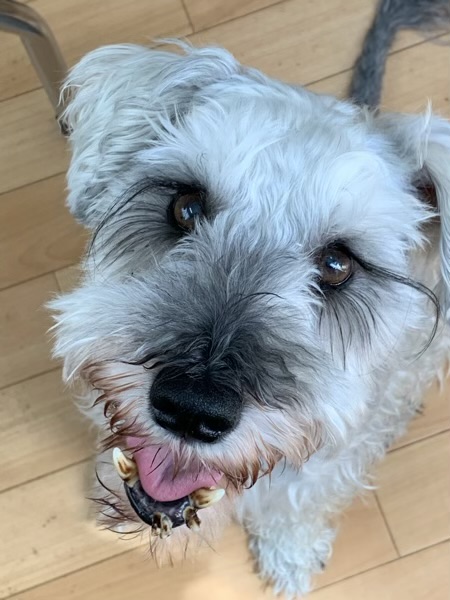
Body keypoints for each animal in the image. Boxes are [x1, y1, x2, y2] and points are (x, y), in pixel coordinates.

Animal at [50, 0, 450, 596]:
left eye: (339, 264)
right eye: (185, 206)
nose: (192, 409)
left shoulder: (324, 465)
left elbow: (298, 502)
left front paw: (290, 553)